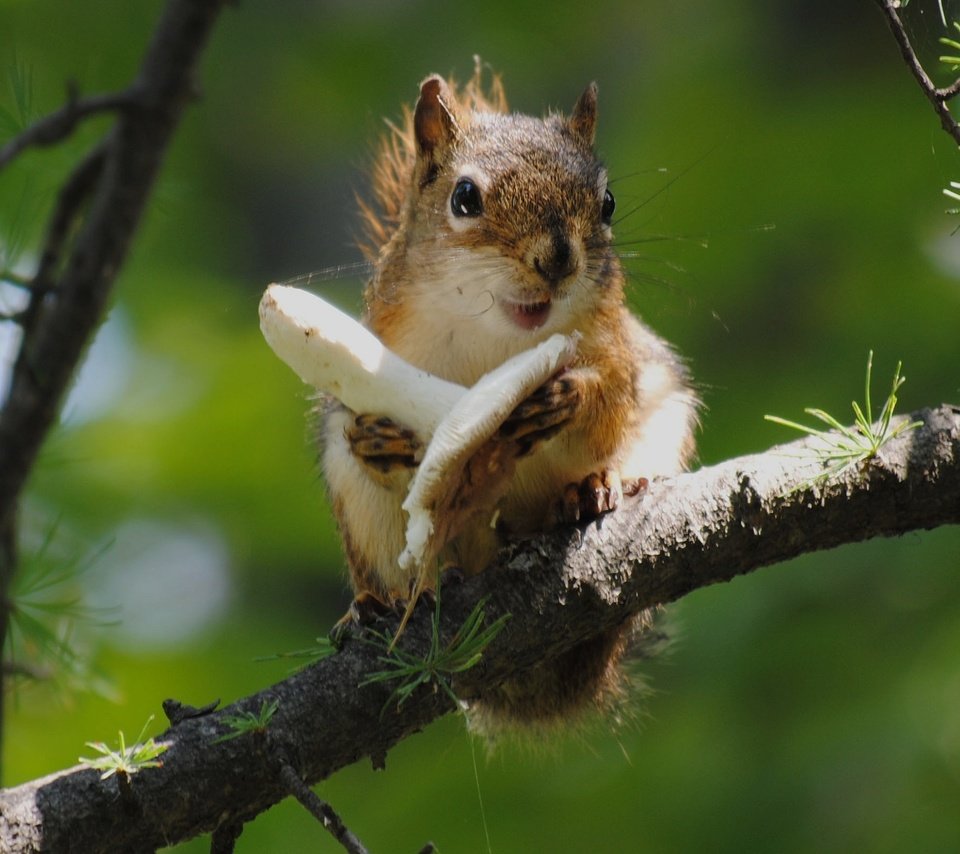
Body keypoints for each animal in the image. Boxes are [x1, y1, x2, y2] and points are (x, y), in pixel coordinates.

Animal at [322, 65, 696, 736]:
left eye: (608, 203)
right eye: (464, 198)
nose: (558, 259)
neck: (499, 337)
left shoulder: (618, 347)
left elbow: (610, 399)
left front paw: (573, 396)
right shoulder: (383, 351)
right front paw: (378, 439)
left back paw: (592, 491)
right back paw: (379, 604)